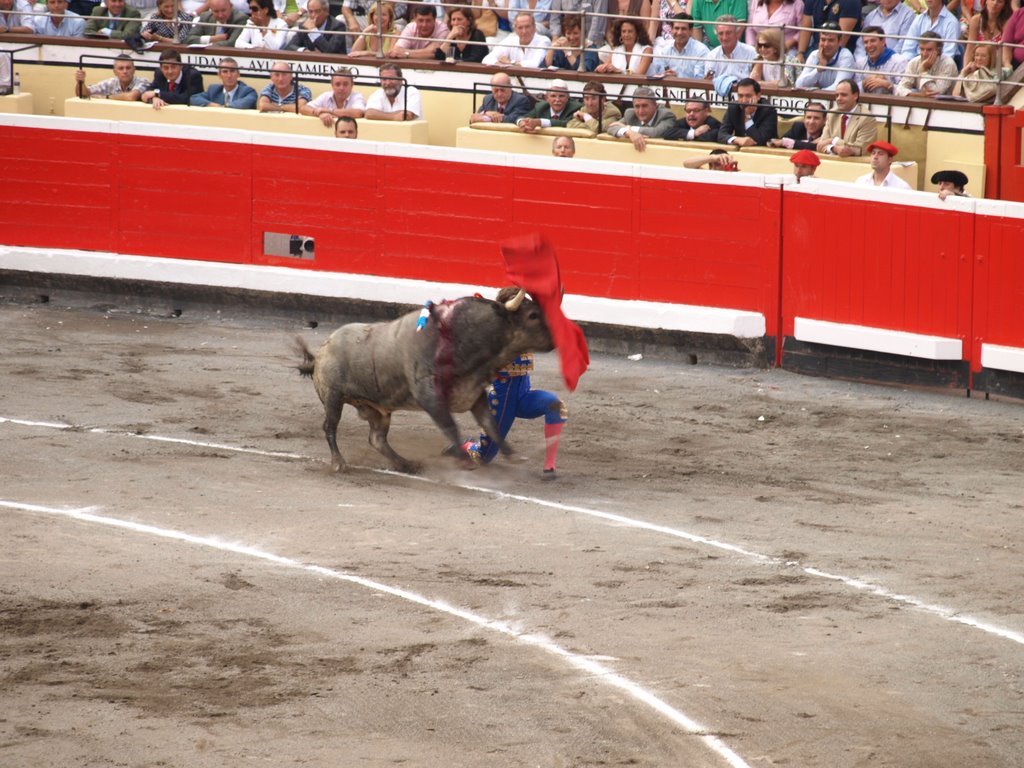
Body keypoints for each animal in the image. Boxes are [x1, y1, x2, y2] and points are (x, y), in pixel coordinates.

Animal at [292, 290, 557, 475]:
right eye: (533, 315)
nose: (556, 339)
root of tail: (320, 352)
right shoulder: (430, 396)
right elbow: (451, 427)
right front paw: (464, 460)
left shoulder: (474, 393)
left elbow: (491, 425)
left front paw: (513, 455)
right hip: (333, 398)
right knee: (330, 427)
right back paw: (339, 463)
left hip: (378, 409)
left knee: (377, 439)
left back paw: (406, 465)